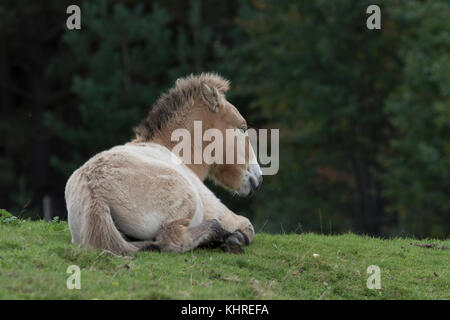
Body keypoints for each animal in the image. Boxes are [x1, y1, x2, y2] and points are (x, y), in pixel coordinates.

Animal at [64, 73, 262, 255]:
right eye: (242, 128)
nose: (258, 178)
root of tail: (95, 194)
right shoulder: (217, 209)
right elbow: (248, 227)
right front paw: (235, 238)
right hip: (187, 200)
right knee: (172, 238)